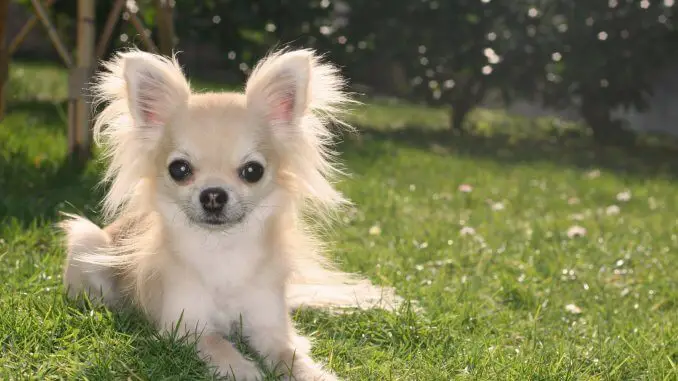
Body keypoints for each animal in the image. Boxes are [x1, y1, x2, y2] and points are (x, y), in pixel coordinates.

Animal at [61, 49, 402, 378]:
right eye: (179, 169)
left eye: (252, 171)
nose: (213, 195)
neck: (223, 249)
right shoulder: (186, 327)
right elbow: (218, 344)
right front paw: (244, 369)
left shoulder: (270, 328)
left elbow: (291, 357)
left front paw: (315, 375)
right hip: (87, 241)